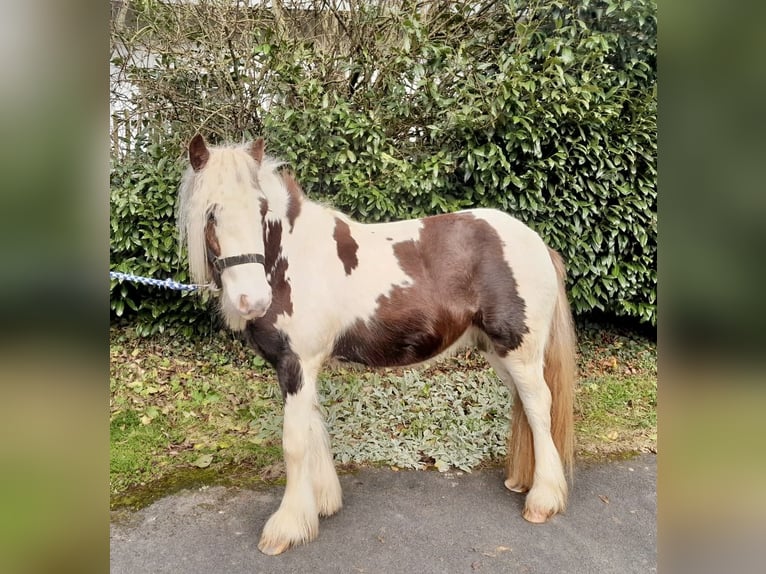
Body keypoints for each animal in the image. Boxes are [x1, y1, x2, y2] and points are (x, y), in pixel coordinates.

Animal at [180, 136, 576, 560]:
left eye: (260, 210)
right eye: (210, 213)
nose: (252, 300)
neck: (291, 260)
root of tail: (537, 243)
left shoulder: (296, 364)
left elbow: (295, 443)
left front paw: (286, 527)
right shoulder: (303, 368)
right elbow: (314, 431)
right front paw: (322, 504)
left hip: (520, 350)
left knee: (538, 408)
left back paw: (542, 500)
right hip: (499, 352)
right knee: (525, 406)